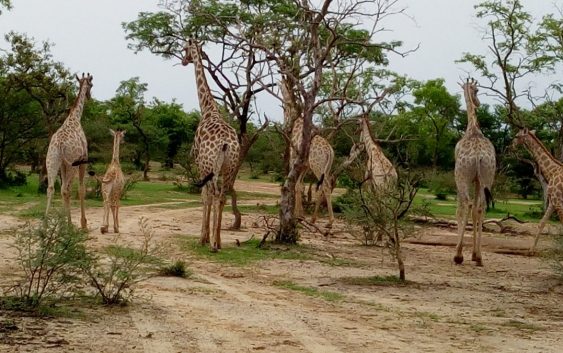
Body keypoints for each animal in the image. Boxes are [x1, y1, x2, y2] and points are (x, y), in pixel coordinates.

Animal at [45, 73, 93, 228]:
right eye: (91, 85)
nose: (89, 96)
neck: (75, 117)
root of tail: (59, 145)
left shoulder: (62, 164)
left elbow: (62, 190)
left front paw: (64, 222)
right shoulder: (83, 159)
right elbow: (81, 189)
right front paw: (83, 223)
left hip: (52, 160)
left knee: (52, 188)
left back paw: (45, 225)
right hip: (72, 164)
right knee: (66, 189)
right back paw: (69, 225)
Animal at [183, 38, 240, 250]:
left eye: (185, 48)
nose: (184, 60)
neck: (208, 109)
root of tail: (226, 144)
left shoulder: (200, 163)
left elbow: (204, 197)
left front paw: (203, 238)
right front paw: (208, 237)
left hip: (212, 165)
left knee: (214, 194)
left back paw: (213, 244)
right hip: (230, 168)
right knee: (222, 196)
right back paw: (219, 241)